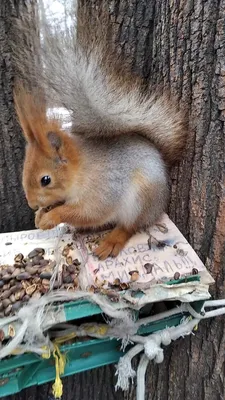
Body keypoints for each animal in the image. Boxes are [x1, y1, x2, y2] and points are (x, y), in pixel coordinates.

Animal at [13, 1, 187, 260]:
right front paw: (40, 216)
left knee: (130, 226)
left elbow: (87, 213)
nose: (32, 204)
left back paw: (111, 241)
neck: (81, 170)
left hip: (141, 200)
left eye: (46, 179)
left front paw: (51, 217)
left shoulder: (103, 188)